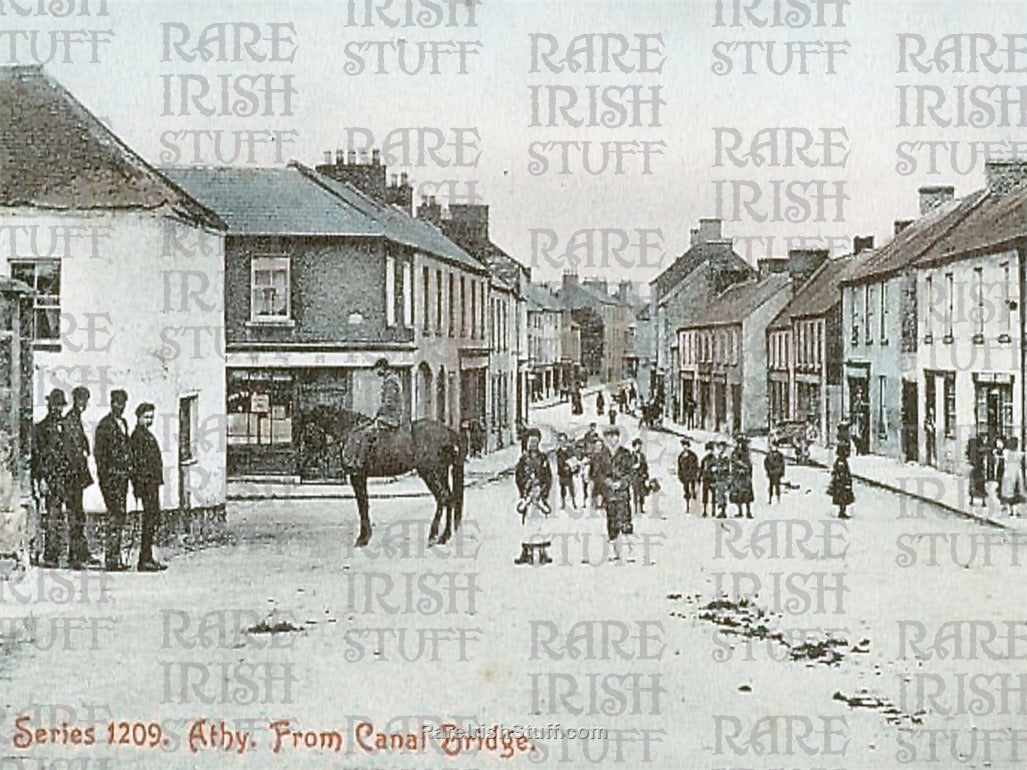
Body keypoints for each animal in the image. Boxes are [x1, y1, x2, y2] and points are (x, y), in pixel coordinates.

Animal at [301, 410, 468, 550]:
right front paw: (366, 536)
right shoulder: (361, 477)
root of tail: (448, 431)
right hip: (441, 472)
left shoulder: (357, 476)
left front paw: (362, 539)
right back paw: (445, 536)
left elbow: (362, 506)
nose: (306, 458)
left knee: (443, 498)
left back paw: (434, 536)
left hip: (430, 472)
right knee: (449, 499)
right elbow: (364, 504)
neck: (350, 432)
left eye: (308, 432)